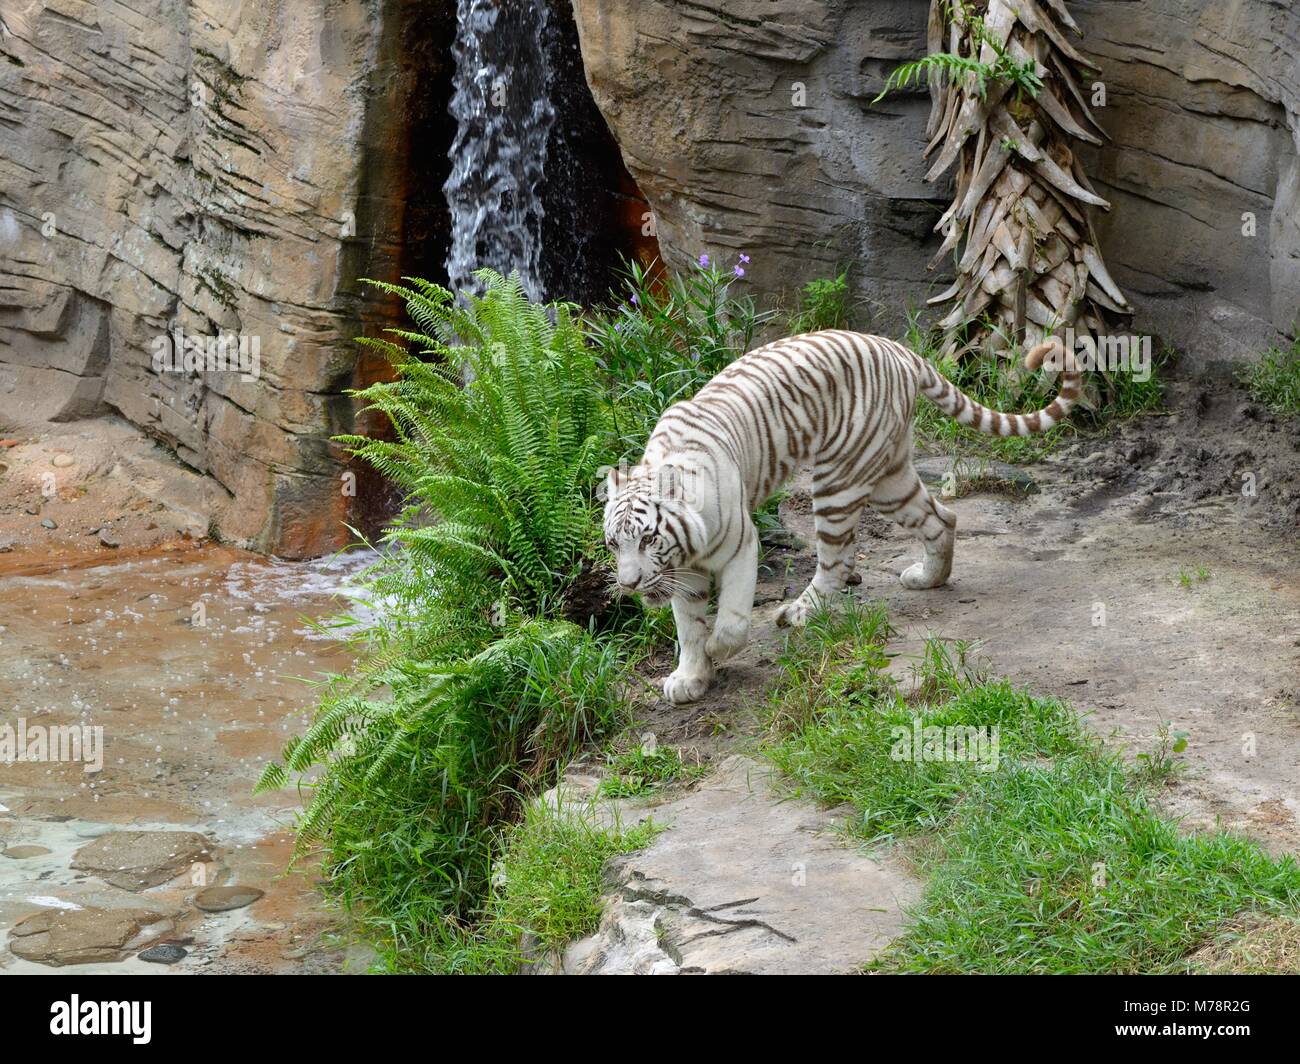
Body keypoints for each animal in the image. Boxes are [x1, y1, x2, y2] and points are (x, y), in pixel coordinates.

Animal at [603, 327, 1081, 702]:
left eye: (648, 538)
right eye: (613, 544)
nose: (628, 584)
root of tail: (899, 349)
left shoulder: (739, 546)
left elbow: (733, 617)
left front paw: (718, 649)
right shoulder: (681, 570)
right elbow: (687, 625)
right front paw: (690, 678)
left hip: (840, 478)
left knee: (836, 561)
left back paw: (798, 612)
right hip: (890, 477)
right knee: (942, 518)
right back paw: (929, 579)